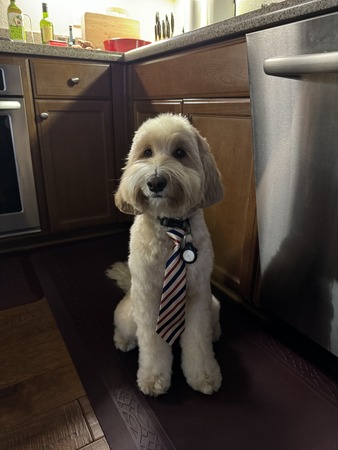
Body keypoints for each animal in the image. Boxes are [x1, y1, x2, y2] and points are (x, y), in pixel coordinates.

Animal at [107, 113, 224, 398]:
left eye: (180, 152)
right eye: (147, 152)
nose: (155, 182)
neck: (171, 226)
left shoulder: (198, 294)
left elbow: (198, 340)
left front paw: (204, 375)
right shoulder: (148, 297)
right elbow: (152, 342)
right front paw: (153, 378)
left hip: (213, 304)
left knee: (211, 327)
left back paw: (215, 333)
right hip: (128, 313)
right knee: (124, 328)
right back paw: (123, 340)